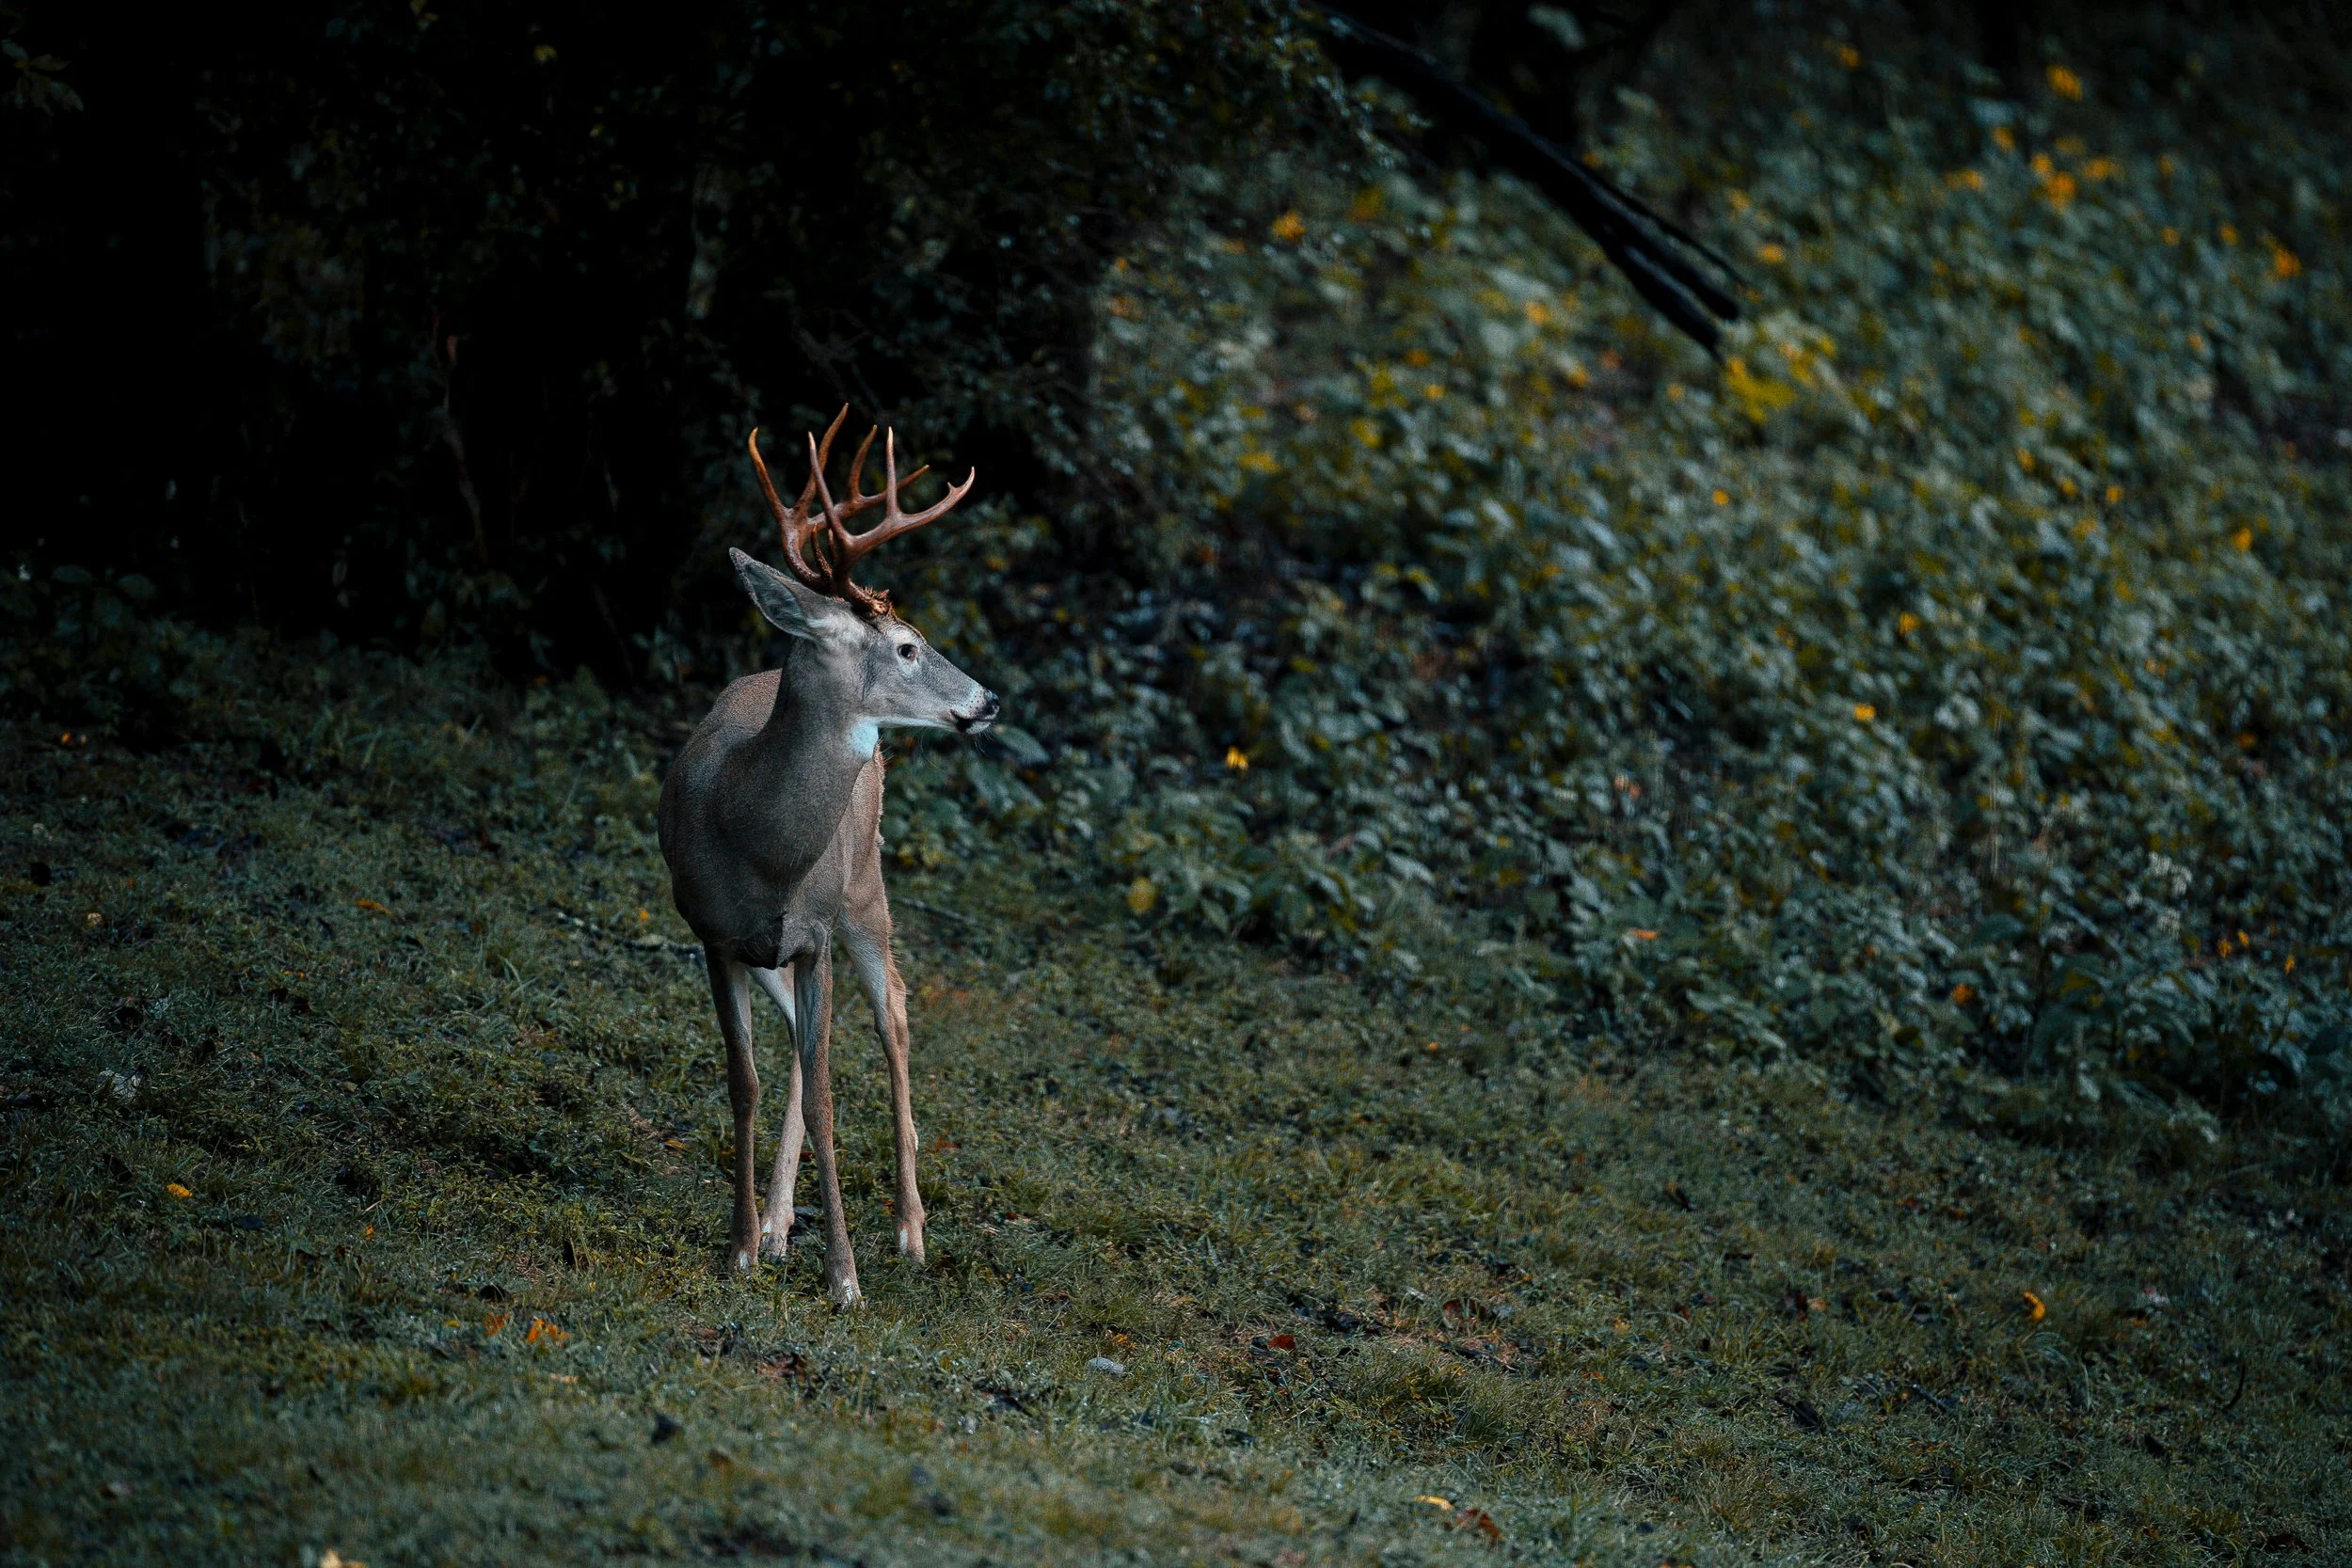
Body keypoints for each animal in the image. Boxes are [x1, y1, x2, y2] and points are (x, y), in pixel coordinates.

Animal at [658, 408, 997, 1306]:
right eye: (908, 647)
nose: (989, 699)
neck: (756, 836)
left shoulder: (813, 934)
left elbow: (828, 1100)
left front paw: (845, 1277)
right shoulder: (713, 935)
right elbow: (746, 1081)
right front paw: (742, 1247)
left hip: (865, 888)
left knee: (897, 1010)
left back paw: (910, 1230)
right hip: (784, 943)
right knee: (798, 1049)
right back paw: (780, 1224)